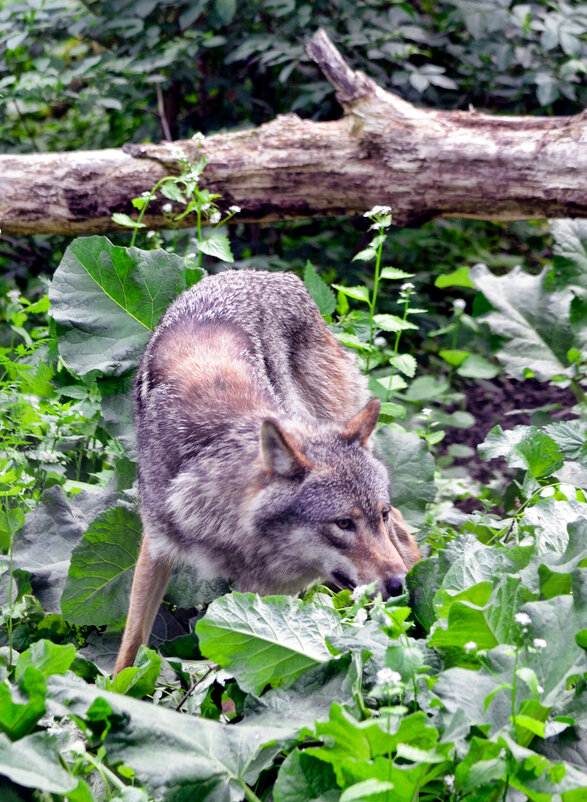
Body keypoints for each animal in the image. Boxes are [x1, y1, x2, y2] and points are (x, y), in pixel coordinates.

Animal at [112, 270, 420, 676]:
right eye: (343, 524)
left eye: (377, 517)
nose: (398, 583)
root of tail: (276, 275)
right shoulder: (157, 546)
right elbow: (131, 647)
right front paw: (116, 688)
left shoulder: (266, 593)